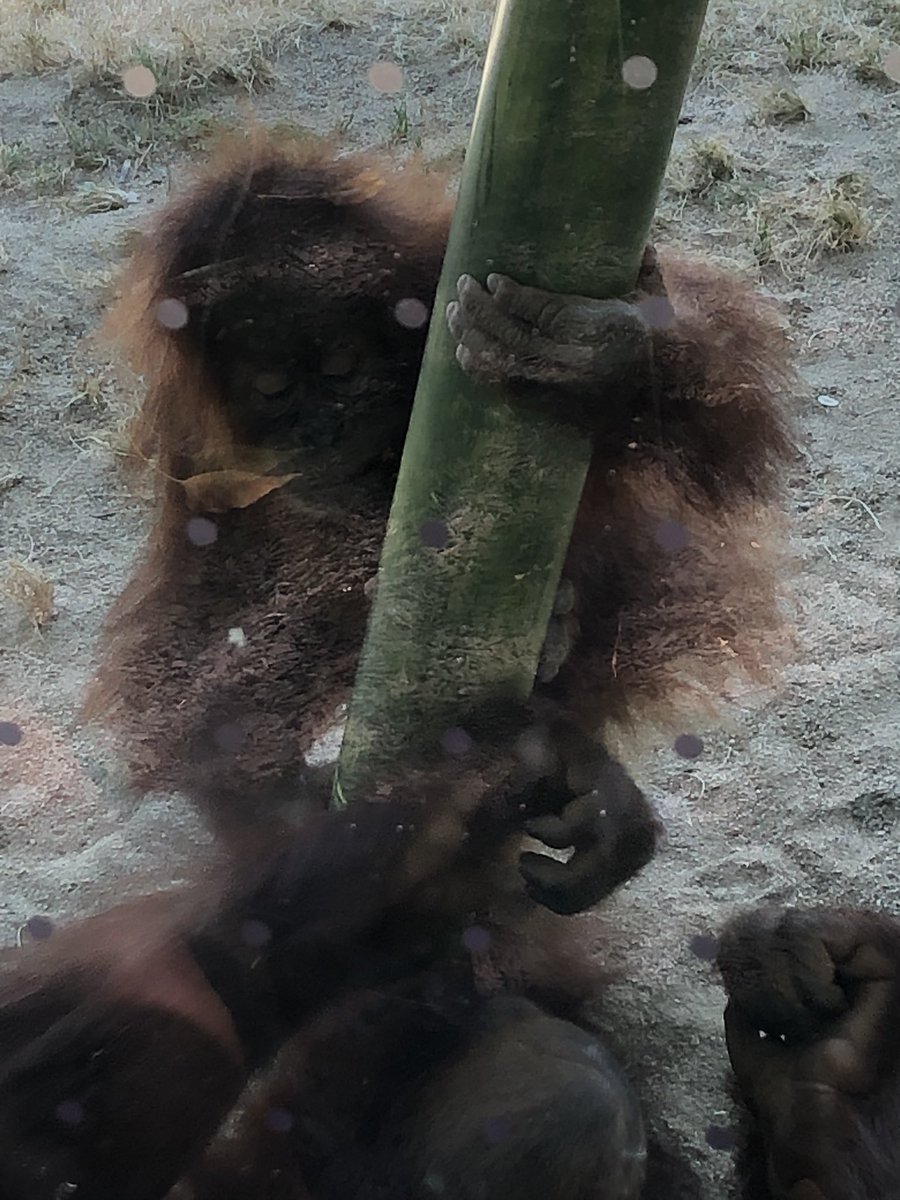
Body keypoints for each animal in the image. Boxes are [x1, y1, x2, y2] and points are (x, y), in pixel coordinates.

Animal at [82, 127, 798, 834]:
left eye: (342, 369)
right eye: (274, 389)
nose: (320, 432)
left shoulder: (445, 281)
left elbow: (727, 440)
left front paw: (600, 362)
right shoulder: (190, 452)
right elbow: (182, 657)